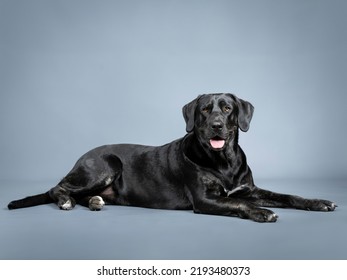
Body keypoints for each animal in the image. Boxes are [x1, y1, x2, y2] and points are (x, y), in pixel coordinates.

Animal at [7, 94, 338, 223]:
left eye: (227, 108)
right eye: (204, 109)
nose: (217, 124)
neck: (224, 160)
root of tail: (81, 157)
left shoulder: (249, 188)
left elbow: (287, 195)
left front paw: (319, 202)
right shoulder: (205, 200)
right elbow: (240, 204)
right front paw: (261, 212)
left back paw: (95, 202)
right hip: (106, 164)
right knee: (57, 187)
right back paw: (66, 201)